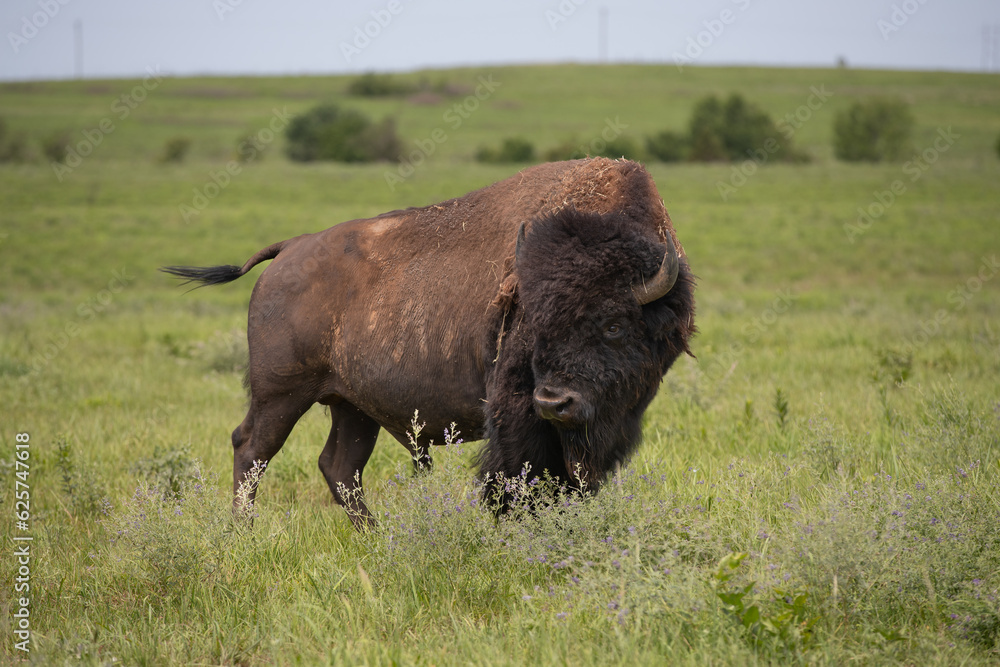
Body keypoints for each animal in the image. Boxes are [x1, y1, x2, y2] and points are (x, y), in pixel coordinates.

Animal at [164, 157, 696, 528]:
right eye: (535, 323)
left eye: (614, 325)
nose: (553, 401)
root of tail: (289, 249)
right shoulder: (516, 411)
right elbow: (517, 476)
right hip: (281, 393)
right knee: (251, 448)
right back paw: (244, 532)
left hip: (351, 406)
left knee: (339, 466)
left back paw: (375, 537)